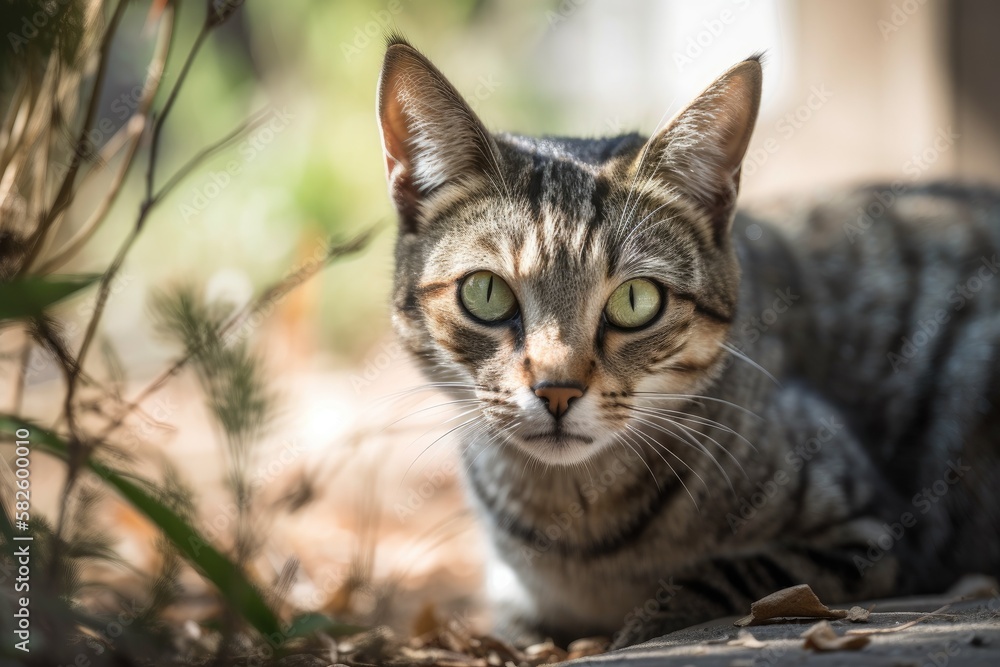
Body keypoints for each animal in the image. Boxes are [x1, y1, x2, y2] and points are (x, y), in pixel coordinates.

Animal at [376, 35, 1000, 648]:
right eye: (486, 293)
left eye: (636, 300)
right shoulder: (513, 603)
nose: (557, 390)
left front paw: (643, 621)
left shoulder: (872, 535)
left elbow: (731, 573)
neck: (576, 535)